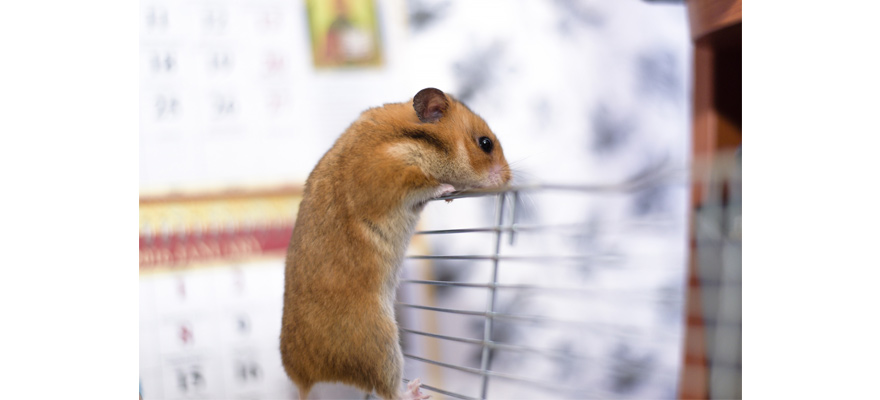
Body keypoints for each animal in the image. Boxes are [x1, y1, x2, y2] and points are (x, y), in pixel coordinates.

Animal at [282, 88, 512, 400]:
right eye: (485, 143)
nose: (510, 180)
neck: (409, 137)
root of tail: (304, 381)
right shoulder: (395, 173)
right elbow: (430, 185)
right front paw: (448, 188)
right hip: (381, 347)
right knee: (389, 391)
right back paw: (418, 390)